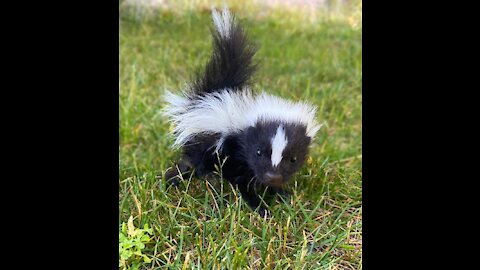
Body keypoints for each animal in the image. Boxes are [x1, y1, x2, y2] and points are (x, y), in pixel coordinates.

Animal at [162, 7, 322, 216]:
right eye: (258, 152)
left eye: (293, 158)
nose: (272, 175)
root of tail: (211, 96)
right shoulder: (234, 152)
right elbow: (242, 181)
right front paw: (260, 207)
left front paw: (281, 194)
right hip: (199, 141)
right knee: (191, 163)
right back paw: (182, 179)